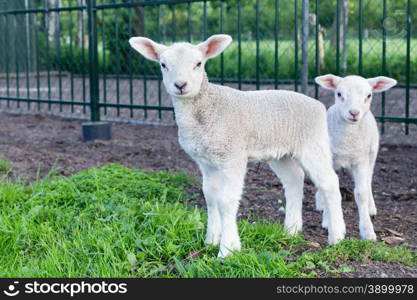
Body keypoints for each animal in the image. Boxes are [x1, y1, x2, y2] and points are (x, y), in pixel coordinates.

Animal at [129, 34, 344, 256]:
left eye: (198, 64)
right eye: (163, 65)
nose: (180, 85)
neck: (206, 108)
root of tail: (318, 104)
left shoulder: (232, 156)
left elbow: (226, 200)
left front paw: (228, 249)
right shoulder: (206, 162)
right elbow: (210, 197)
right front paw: (210, 240)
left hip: (313, 144)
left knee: (329, 183)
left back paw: (337, 236)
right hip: (281, 153)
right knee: (294, 181)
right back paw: (291, 231)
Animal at [316, 74, 396, 241]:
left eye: (369, 95)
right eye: (339, 94)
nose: (354, 113)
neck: (348, 142)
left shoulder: (361, 161)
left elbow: (361, 193)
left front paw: (367, 231)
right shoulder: (330, 159)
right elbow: (330, 189)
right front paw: (328, 221)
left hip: (371, 155)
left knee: (368, 181)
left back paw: (371, 208)